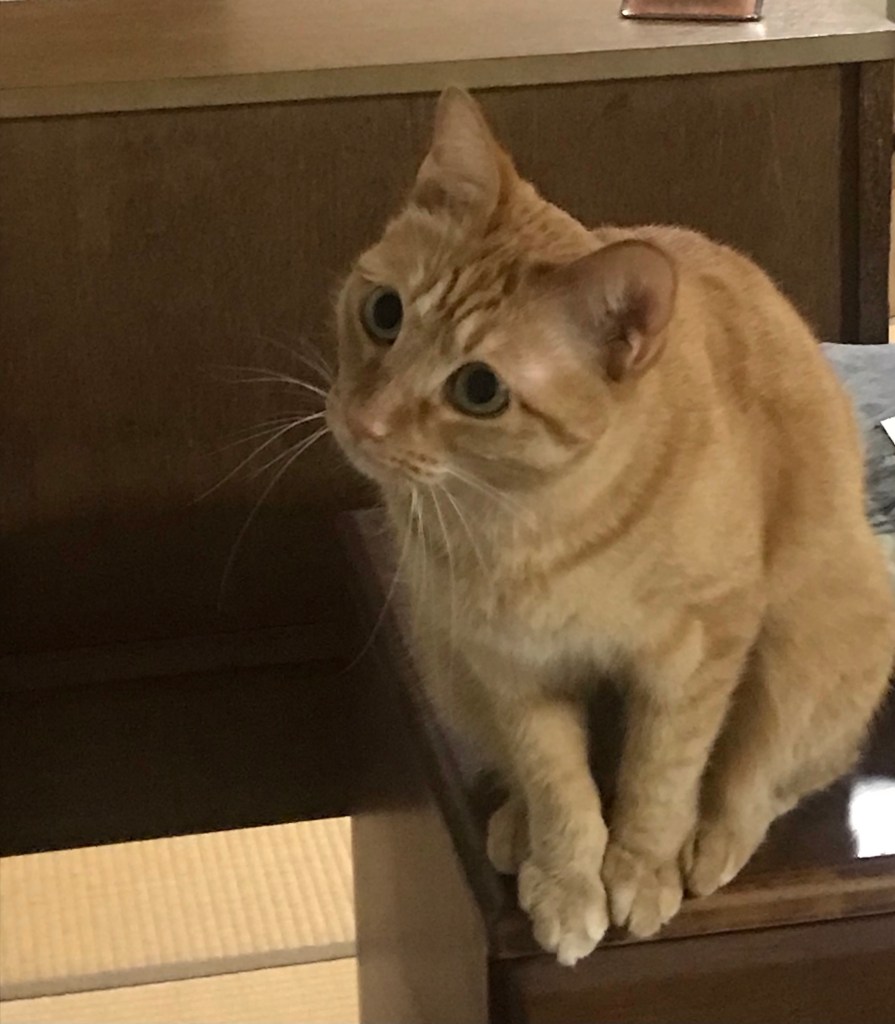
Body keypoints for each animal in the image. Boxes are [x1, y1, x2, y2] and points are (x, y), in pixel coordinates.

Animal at [327, 87, 895, 966]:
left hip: (807, 647)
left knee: (772, 774)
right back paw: (517, 829)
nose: (366, 422)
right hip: (444, 657)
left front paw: (639, 867)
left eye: (479, 389)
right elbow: (557, 784)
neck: (526, 524)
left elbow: (660, 776)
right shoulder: (509, 666)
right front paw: (566, 880)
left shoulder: (695, 653)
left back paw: (711, 843)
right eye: (383, 313)